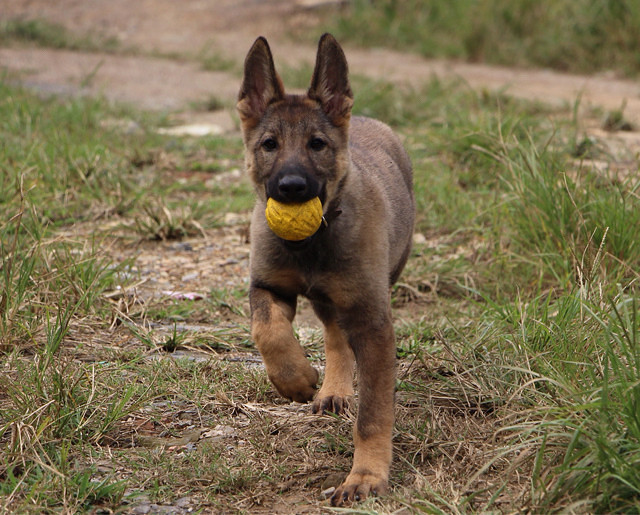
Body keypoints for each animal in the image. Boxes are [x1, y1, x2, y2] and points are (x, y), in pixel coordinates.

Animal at [236, 34, 416, 506]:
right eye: (269, 144)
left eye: (317, 144)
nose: (292, 188)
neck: (311, 244)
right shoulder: (267, 287)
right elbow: (268, 332)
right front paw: (297, 380)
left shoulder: (373, 322)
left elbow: (373, 414)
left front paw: (366, 477)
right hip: (327, 299)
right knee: (334, 335)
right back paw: (332, 389)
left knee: (340, 335)